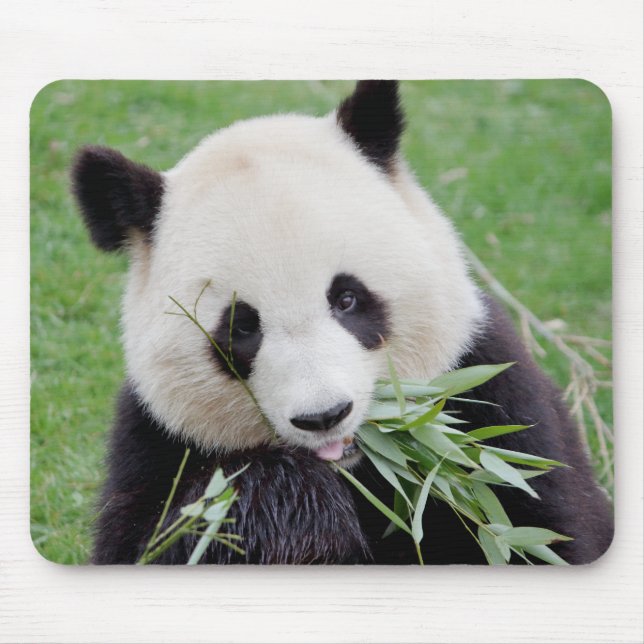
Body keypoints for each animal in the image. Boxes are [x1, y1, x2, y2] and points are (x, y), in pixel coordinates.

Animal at [72, 80, 613, 565]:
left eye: (347, 299)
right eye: (241, 328)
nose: (324, 416)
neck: (356, 470)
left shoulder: (492, 399)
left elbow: (534, 532)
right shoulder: (157, 440)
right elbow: (163, 540)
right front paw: (289, 506)